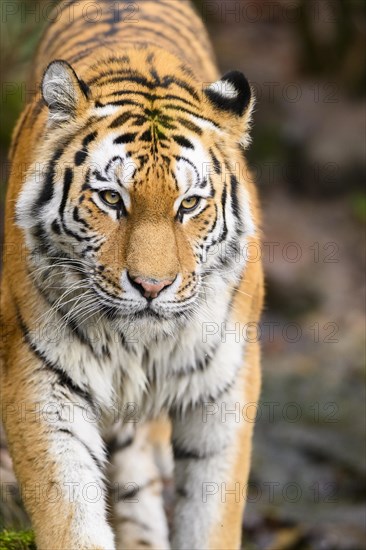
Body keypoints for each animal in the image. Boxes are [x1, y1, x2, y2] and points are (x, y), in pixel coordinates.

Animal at [0, 1, 264, 550]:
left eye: (189, 205)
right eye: (110, 199)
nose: (151, 287)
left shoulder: (225, 387)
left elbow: (211, 512)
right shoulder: (40, 379)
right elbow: (68, 510)